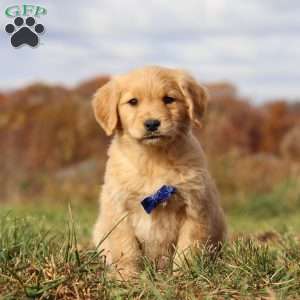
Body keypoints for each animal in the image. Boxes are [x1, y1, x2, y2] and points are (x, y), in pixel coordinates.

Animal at [92, 65, 226, 278]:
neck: (153, 159)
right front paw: (127, 278)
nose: (152, 123)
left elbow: (188, 248)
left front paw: (184, 276)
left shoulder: (195, 208)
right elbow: (126, 248)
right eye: (133, 101)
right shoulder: (119, 210)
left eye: (168, 99)